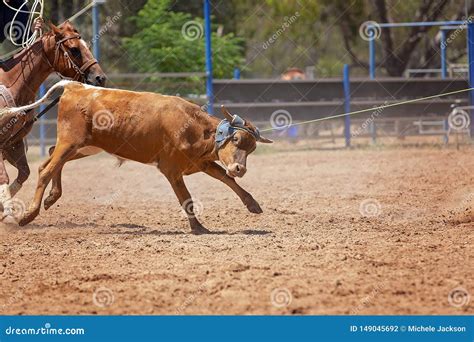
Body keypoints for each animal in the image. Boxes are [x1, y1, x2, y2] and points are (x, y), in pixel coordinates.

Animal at [0, 21, 105, 220]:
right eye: (74, 50)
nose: (100, 77)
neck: (11, 84)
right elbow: (4, 177)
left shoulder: (13, 142)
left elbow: (23, 173)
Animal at [9, 81, 272, 234]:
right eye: (235, 139)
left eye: (252, 148)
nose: (240, 168)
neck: (193, 128)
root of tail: (77, 86)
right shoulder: (171, 170)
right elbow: (186, 198)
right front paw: (198, 227)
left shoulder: (202, 162)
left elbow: (227, 180)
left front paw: (252, 204)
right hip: (70, 141)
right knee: (46, 169)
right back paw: (28, 215)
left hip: (83, 147)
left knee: (49, 160)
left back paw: (52, 197)